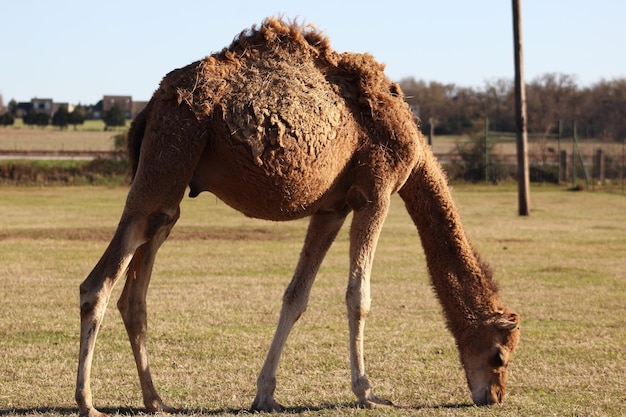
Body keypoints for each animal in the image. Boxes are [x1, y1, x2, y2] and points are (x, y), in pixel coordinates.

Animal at [75, 17, 520, 414]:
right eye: (499, 355)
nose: (493, 396)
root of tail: (149, 108)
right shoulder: (375, 192)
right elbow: (358, 295)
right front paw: (368, 393)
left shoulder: (332, 207)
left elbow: (296, 296)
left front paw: (265, 395)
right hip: (167, 162)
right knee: (96, 285)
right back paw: (87, 403)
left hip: (169, 189)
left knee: (135, 293)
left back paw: (156, 401)